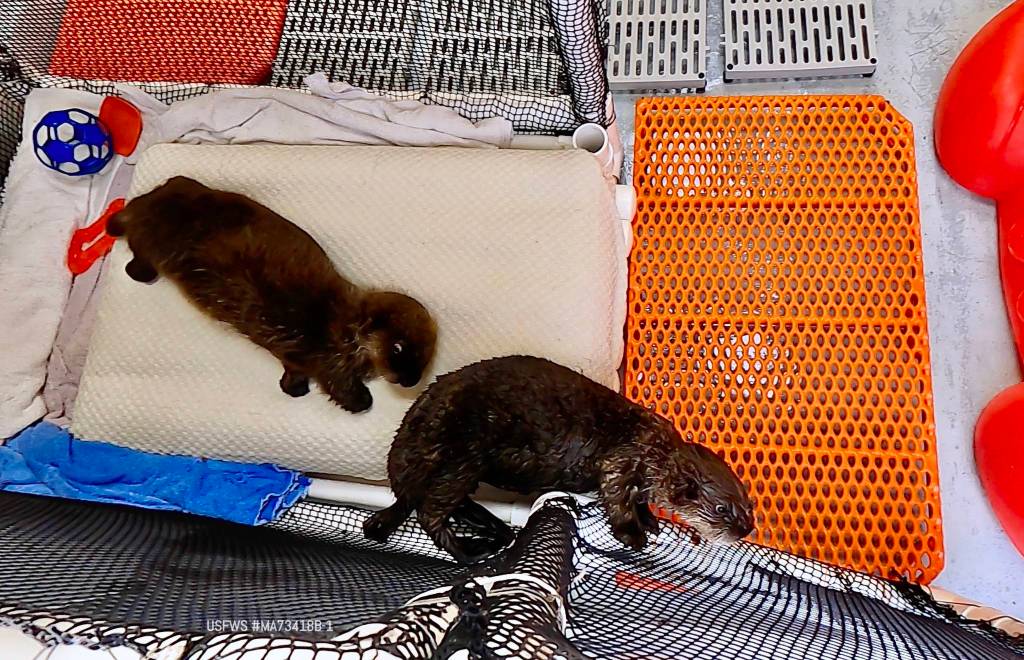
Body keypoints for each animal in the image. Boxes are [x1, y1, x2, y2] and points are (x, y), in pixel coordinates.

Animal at [107, 176, 436, 412]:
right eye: (398, 348)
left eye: (428, 353)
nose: (411, 381)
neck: (343, 326)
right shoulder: (331, 361)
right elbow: (340, 388)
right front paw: (358, 400)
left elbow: (294, 369)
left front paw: (293, 386)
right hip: (151, 244)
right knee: (135, 254)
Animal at [363, 356, 755, 563]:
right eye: (722, 510)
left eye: (749, 505)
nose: (746, 529)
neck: (655, 451)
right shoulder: (623, 460)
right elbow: (617, 499)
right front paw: (634, 534)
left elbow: (639, 500)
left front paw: (651, 520)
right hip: (462, 456)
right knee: (429, 512)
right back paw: (472, 548)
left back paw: (491, 526)